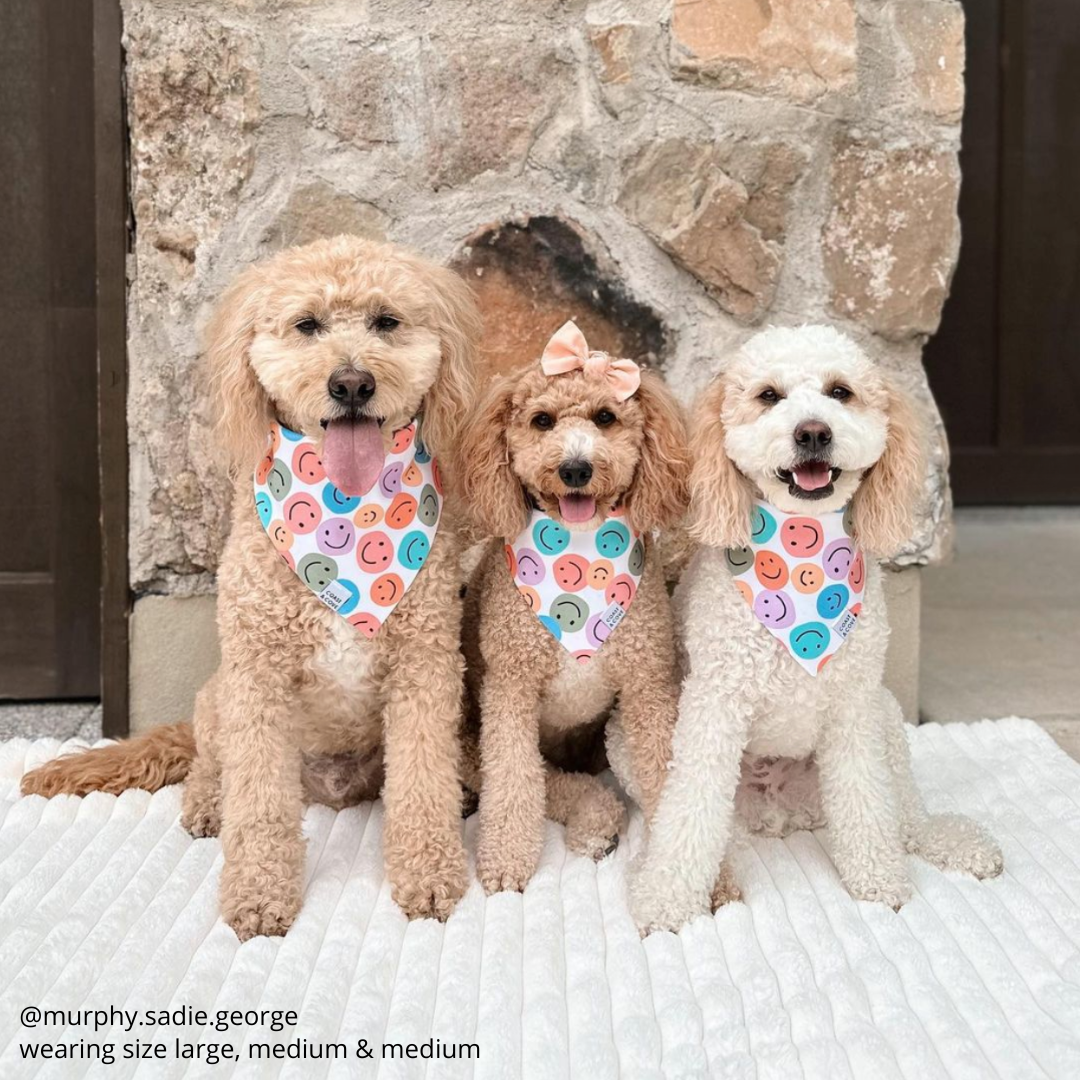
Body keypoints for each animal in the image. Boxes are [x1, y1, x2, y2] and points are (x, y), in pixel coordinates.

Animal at [19, 234, 483, 937]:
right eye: (307, 325)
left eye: (386, 321)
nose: (352, 382)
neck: (346, 518)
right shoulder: (258, 677)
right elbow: (259, 801)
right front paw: (259, 894)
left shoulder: (424, 667)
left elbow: (421, 782)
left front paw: (429, 875)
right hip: (221, 695)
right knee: (214, 764)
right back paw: (209, 804)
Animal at [630, 324, 997, 933]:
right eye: (768, 396)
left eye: (840, 392)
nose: (813, 433)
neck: (802, 552)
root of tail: (780, 810)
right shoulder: (714, 709)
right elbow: (688, 815)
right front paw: (666, 899)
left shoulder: (852, 707)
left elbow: (867, 806)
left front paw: (879, 881)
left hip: (884, 714)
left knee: (906, 816)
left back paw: (953, 842)